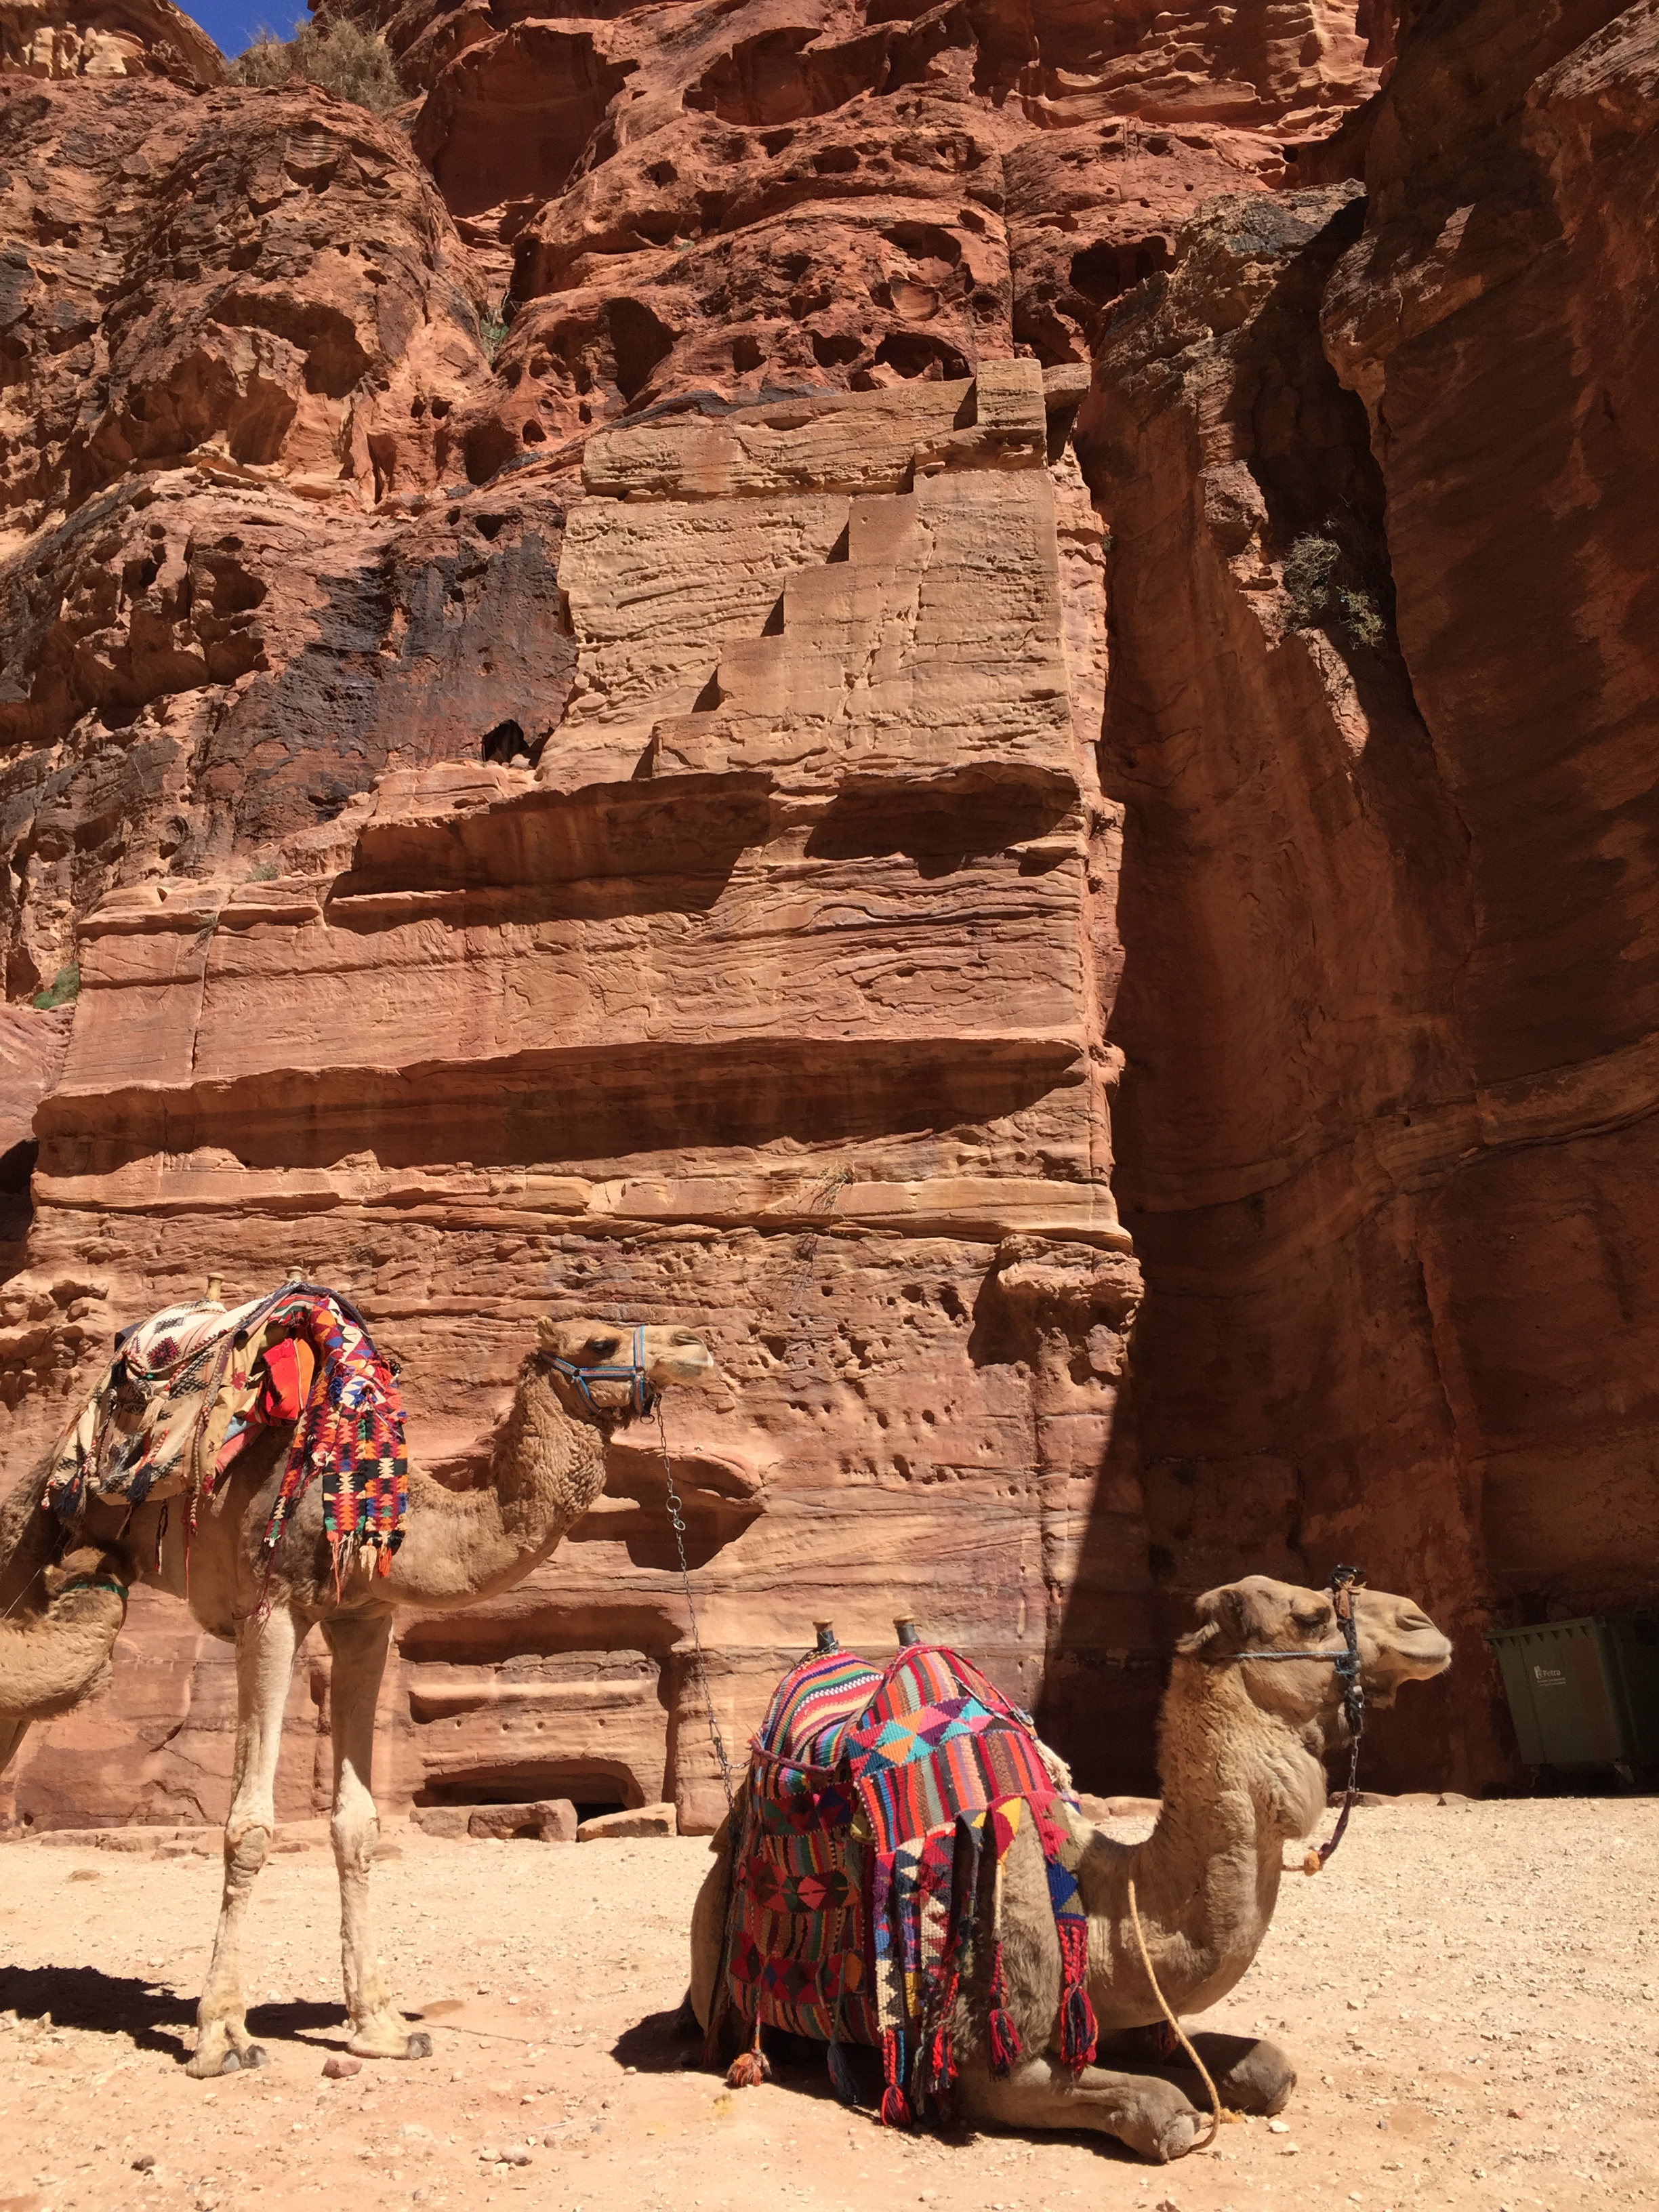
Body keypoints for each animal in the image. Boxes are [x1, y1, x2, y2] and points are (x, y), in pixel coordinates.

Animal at [0, 1309, 718, 2078]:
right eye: (599, 1342)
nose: (696, 1347)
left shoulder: (366, 1618)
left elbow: (358, 1825)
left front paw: (382, 2028)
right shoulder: (271, 1606)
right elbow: (249, 1826)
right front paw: (222, 2037)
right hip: (27, 1538)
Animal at [690, 1572, 1452, 2161]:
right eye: (1313, 1615)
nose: (1424, 1625)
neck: (1105, 1903)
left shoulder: (1118, 2013)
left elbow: (1267, 2069)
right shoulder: (983, 2056)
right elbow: (1159, 2108)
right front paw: (1177, 2116)